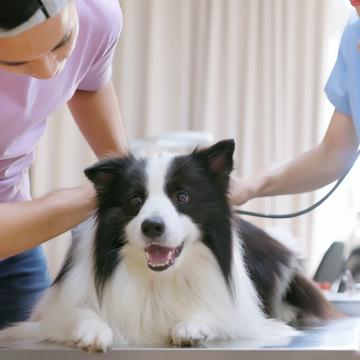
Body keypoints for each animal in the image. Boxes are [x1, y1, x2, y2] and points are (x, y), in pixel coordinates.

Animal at [0, 140, 336, 352]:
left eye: (182, 197)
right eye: (135, 200)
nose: (152, 226)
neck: (158, 279)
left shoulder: (241, 316)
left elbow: (215, 315)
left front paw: (192, 327)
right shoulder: (53, 314)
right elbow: (78, 316)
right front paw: (92, 331)